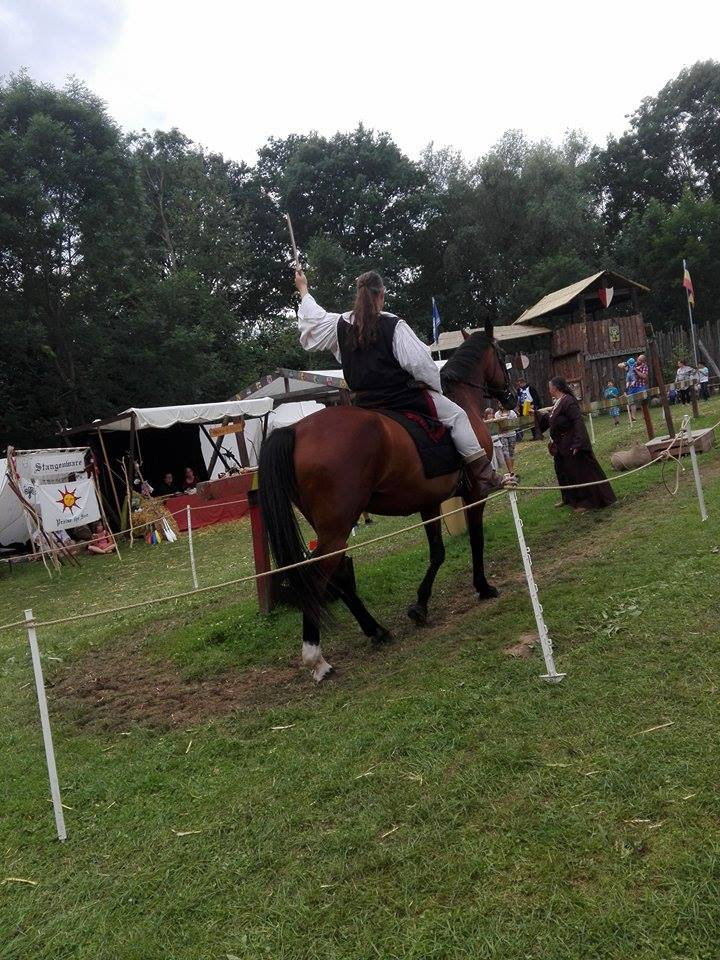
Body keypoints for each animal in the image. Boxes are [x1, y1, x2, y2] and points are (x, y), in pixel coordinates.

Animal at [258, 321, 516, 681]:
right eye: (502, 354)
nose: (511, 393)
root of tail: (295, 430)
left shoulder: (429, 502)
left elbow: (437, 552)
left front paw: (420, 606)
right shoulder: (474, 494)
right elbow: (476, 540)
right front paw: (483, 586)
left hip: (333, 528)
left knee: (339, 574)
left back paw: (376, 631)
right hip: (337, 528)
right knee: (318, 574)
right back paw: (316, 658)